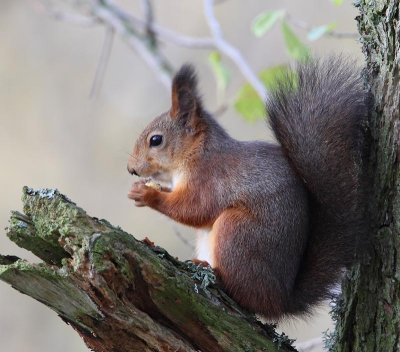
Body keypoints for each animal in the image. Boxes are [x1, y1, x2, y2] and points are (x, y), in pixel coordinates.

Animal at [127, 57, 368, 320]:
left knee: (245, 294)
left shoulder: (210, 178)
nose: (131, 169)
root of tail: (280, 299)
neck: (197, 153)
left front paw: (148, 194)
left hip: (237, 232)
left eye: (156, 140)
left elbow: (194, 208)